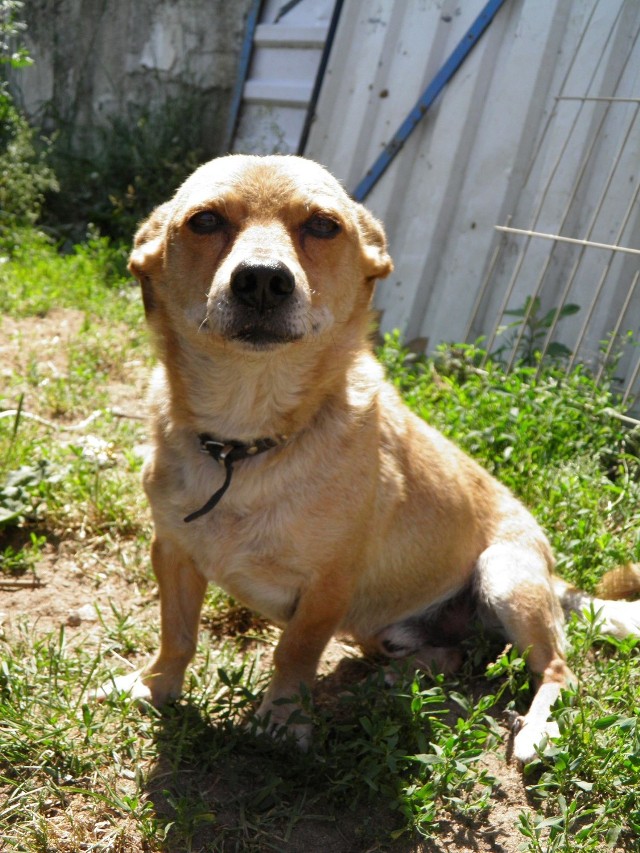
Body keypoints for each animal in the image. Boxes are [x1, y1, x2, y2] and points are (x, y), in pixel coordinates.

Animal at [95, 156, 640, 764]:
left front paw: (281, 722)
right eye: (205, 221)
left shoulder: (328, 588)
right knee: (454, 656)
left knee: (561, 669)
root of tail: (553, 573)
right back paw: (398, 678)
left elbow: (294, 653)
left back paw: (537, 728)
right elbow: (178, 634)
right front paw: (155, 687)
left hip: (504, 576)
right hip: (381, 627)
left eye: (323, 226)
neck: (247, 438)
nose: (261, 278)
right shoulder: (172, 553)